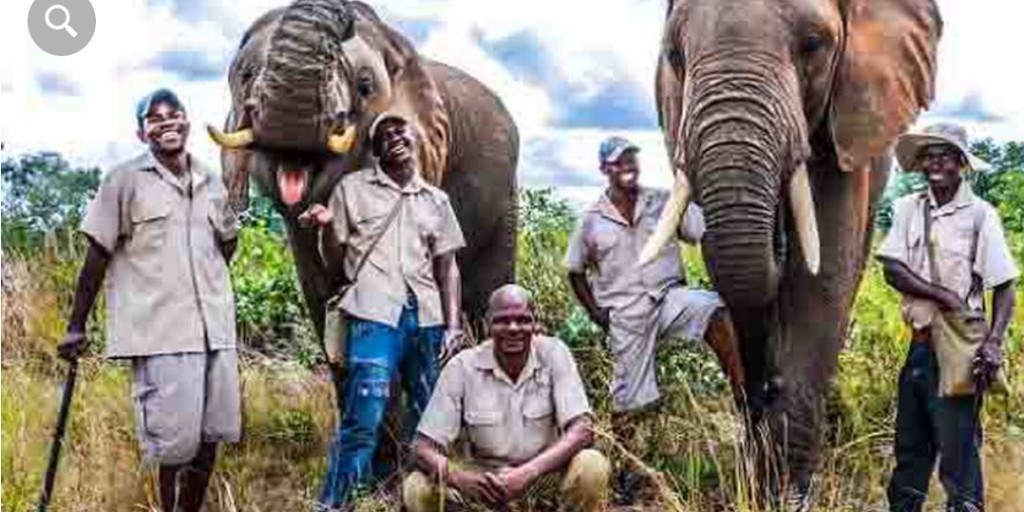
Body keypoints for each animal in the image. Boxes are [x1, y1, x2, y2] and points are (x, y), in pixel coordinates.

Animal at [643, 0, 937, 497]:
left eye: (814, 44)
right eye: (674, 56)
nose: (768, 389)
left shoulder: (847, 121)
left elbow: (822, 280)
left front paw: (785, 492)